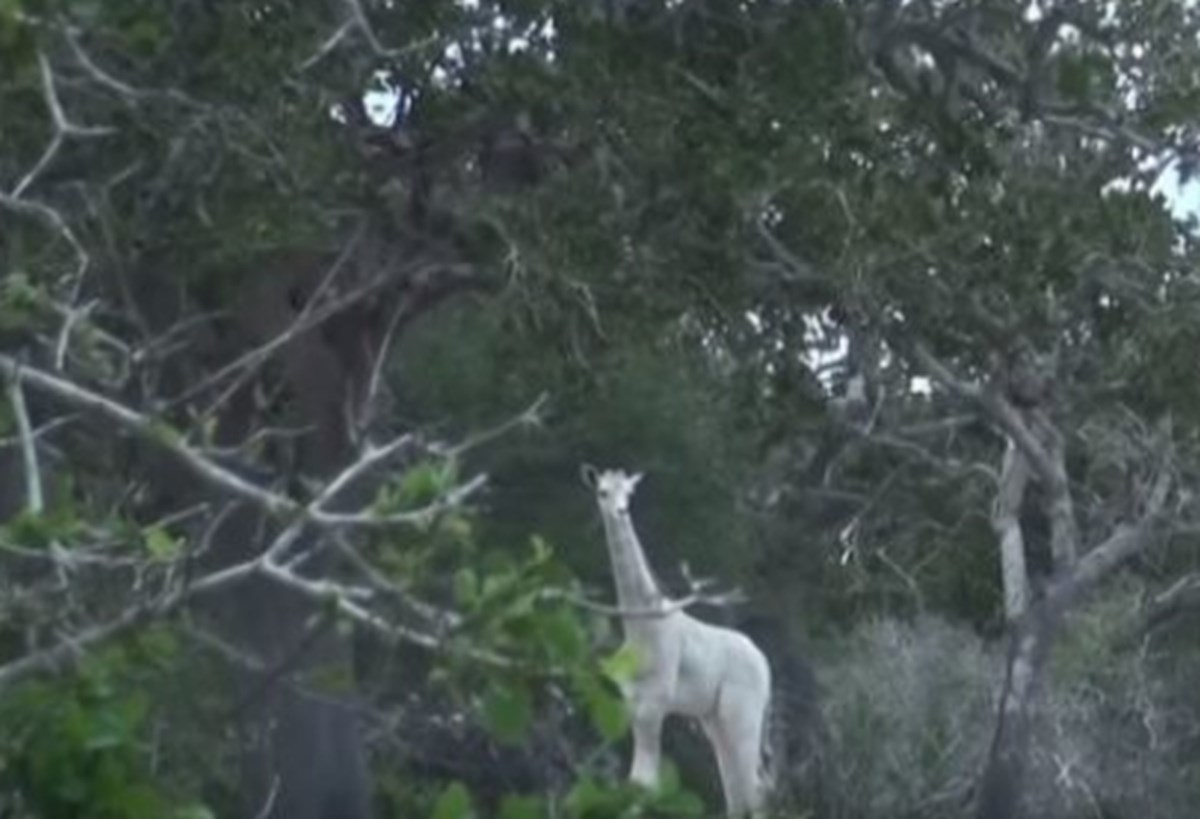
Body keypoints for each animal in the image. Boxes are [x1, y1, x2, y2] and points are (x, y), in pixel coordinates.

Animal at [583, 463, 777, 811]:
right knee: (736, 789)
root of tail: (764, 663)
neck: (642, 627)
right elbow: (635, 782)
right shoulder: (632, 703)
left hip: (744, 712)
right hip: (716, 720)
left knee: (754, 788)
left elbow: (646, 782)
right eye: (602, 492)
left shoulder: (655, 702)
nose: (620, 511)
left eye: (629, 493)